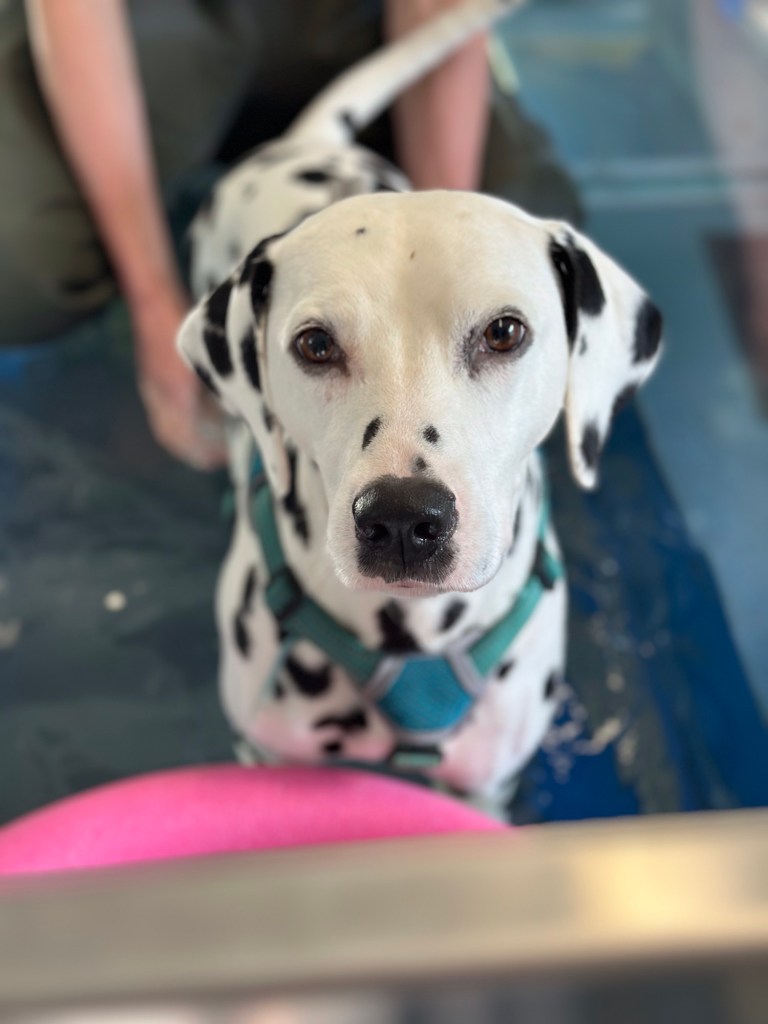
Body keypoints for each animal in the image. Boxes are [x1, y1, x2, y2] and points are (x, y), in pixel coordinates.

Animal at [178, 0, 663, 816]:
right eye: (315, 344)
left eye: (505, 331)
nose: (403, 520)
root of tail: (310, 143)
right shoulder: (262, 757)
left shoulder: (486, 786)